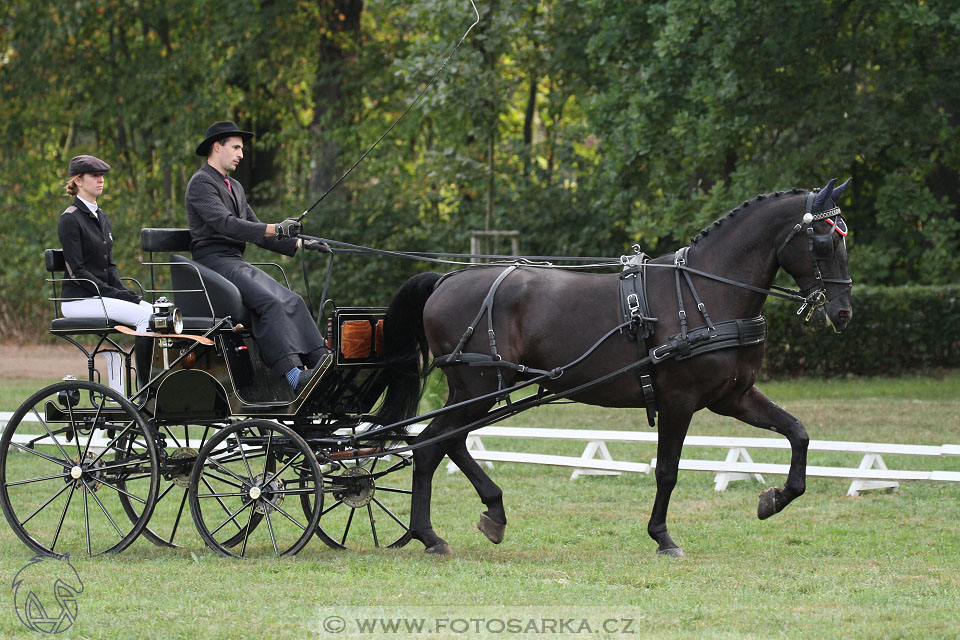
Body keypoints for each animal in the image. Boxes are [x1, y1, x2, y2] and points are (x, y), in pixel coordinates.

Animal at [378, 179, 852, 556]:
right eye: (824, 242)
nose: (843, 313)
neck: (703, 291)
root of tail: (445, 280)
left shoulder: (734, 396)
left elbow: (798, 433)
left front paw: (774, 499)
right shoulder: (679, 400)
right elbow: (667, 470)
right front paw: (662, 536)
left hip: (476, 390)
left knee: (445, 443)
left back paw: (480, 516)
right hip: (478, 388)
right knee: (431, 446)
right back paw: (431, 534)